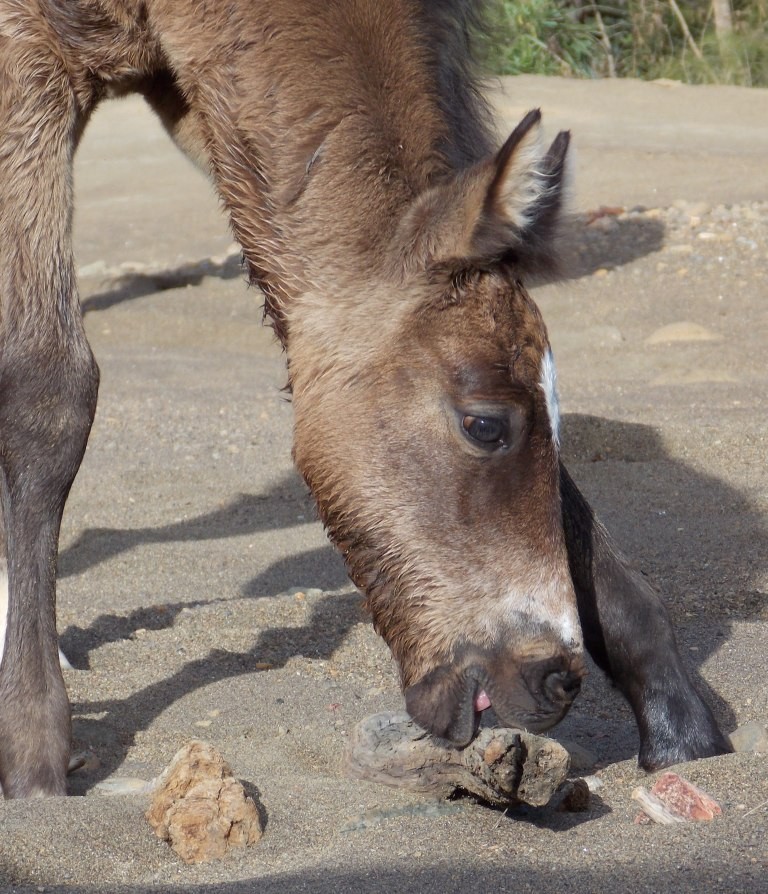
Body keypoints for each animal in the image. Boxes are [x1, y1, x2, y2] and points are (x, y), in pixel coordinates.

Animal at [0, 0, 732, 800]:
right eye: (483, 425)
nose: (556, 681)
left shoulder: (219, 111)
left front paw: (677, 717)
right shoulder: (30, 52)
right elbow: (50, 388)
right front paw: (33, 746)